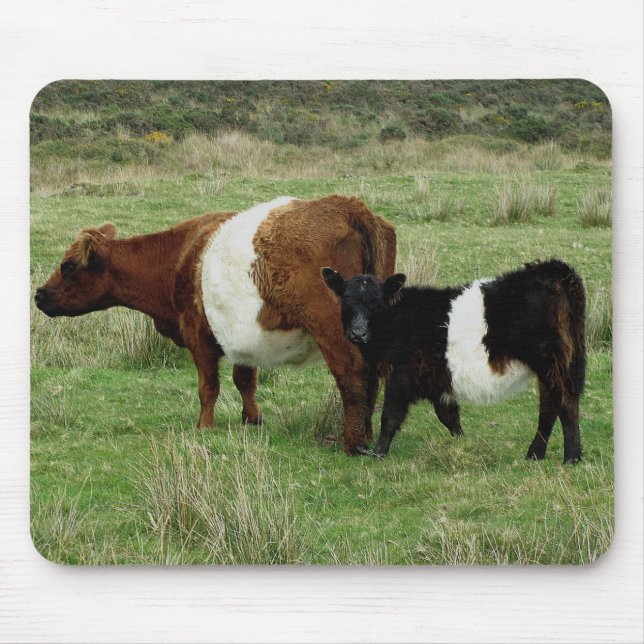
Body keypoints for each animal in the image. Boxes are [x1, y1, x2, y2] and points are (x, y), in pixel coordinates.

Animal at [35, 195, 396, 454]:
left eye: (68, 266)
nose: (39, 295)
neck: (180, 258)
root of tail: (348, 206)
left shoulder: (199, 336)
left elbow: (208, 387)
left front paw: (204, 426)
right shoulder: (242, 336)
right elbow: (244, 380)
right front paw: (253, 419)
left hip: (335, 331)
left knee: (352, 374)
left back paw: (353, 443)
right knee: (373, 377)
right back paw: (368, 436)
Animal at [322, 259, 586, 463]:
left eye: (375, 304)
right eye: (346, 302)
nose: (357, 333)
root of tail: (556, 270)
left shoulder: (400, 375)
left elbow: (390, 416)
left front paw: (377, 453)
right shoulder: (437, 381)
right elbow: (449, 417)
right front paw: (464, 443)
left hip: (549, 362)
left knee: (556, 403)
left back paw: (552, 455)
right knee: (563, 403)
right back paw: (561, 456)